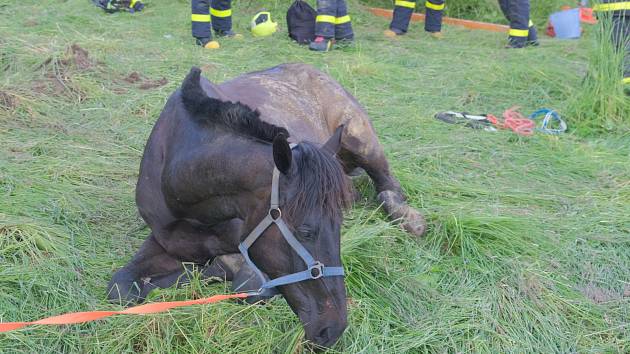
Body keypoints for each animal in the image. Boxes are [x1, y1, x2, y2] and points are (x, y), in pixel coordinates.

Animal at [108, 63, 428, 348]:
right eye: (306, 231)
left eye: (340, 226)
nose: (333, 329)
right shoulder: (166, 239)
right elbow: (120, 289)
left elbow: (244, 285)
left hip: (361, 140)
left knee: (387, 185)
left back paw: (409, 218)